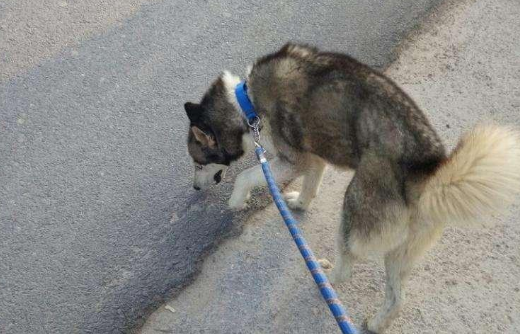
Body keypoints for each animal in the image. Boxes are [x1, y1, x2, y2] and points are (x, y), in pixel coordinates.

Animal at [185, 43, 520, 332]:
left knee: (346, 267)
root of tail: (427, 175)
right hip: (401, 251)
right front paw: (299, 204)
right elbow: (311, 186)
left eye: (197, 163)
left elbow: (248, 175)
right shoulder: (314, 158)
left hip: (353, 211)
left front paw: (237, 200)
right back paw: (376, 323)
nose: (196, 188)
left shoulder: (291, 161)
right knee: (398, 298)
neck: (245, 102)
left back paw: (325, 277)